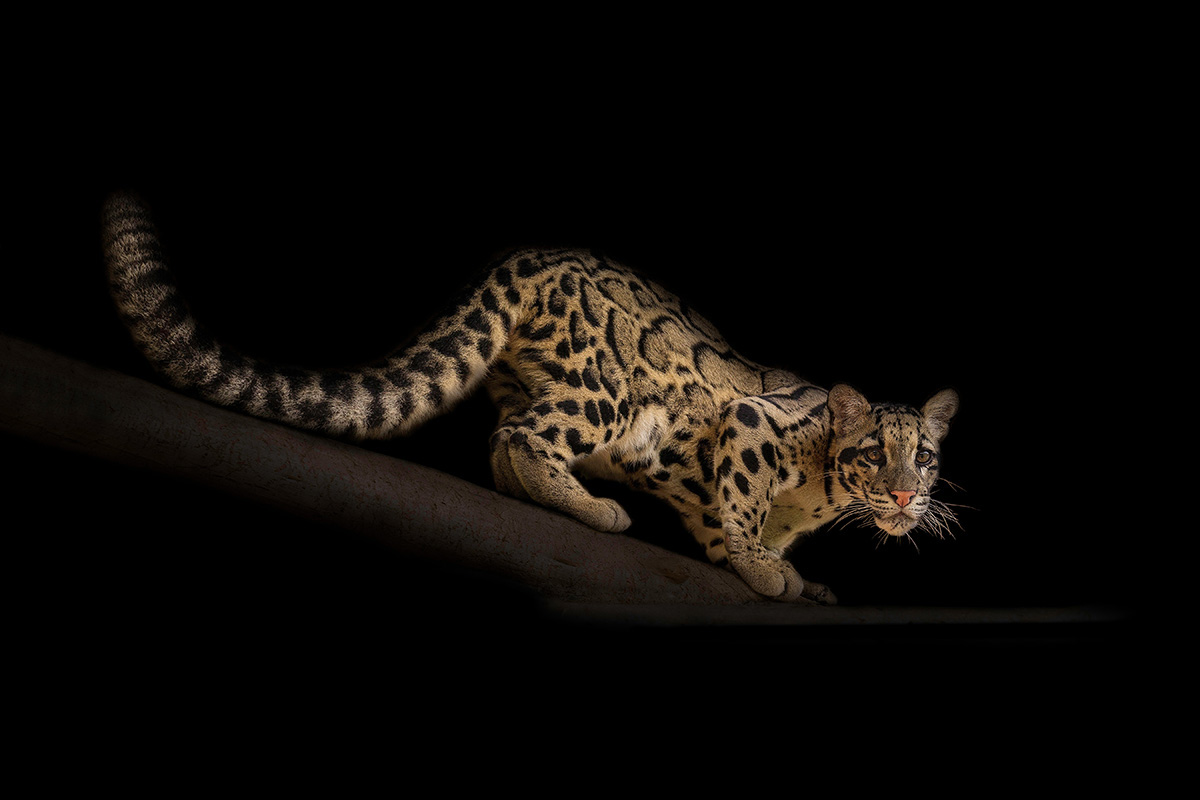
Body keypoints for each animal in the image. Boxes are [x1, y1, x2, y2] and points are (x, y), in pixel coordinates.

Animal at [101, 191, 959, 604]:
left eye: (924, 456)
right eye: (873, 455)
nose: (906, 494)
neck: (818, 500)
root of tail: (529, 259)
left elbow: (734, 527)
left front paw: (790, 573)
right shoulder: (750, 426)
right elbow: (740, 509)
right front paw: (761, 565)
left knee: (507, 437)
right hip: (607, 393)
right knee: (520, 437)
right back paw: (594, 508)